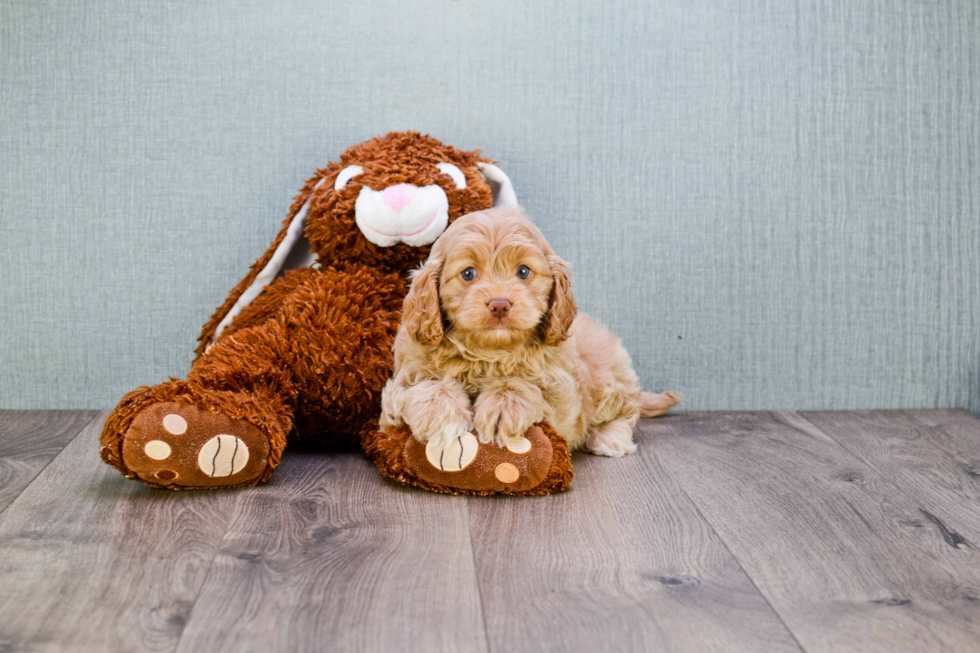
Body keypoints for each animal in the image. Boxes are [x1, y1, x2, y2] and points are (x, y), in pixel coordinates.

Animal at [378, 206, 676, 456]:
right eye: (468, 273)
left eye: (523, 271)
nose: (499, 304)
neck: (489, 354)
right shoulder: (395, 392)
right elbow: (422, 387)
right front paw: (440, 414)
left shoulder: (564, 399)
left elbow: (528, 386)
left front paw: (503, 405)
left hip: (608, 379)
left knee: (627, 410)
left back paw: (609, 439)